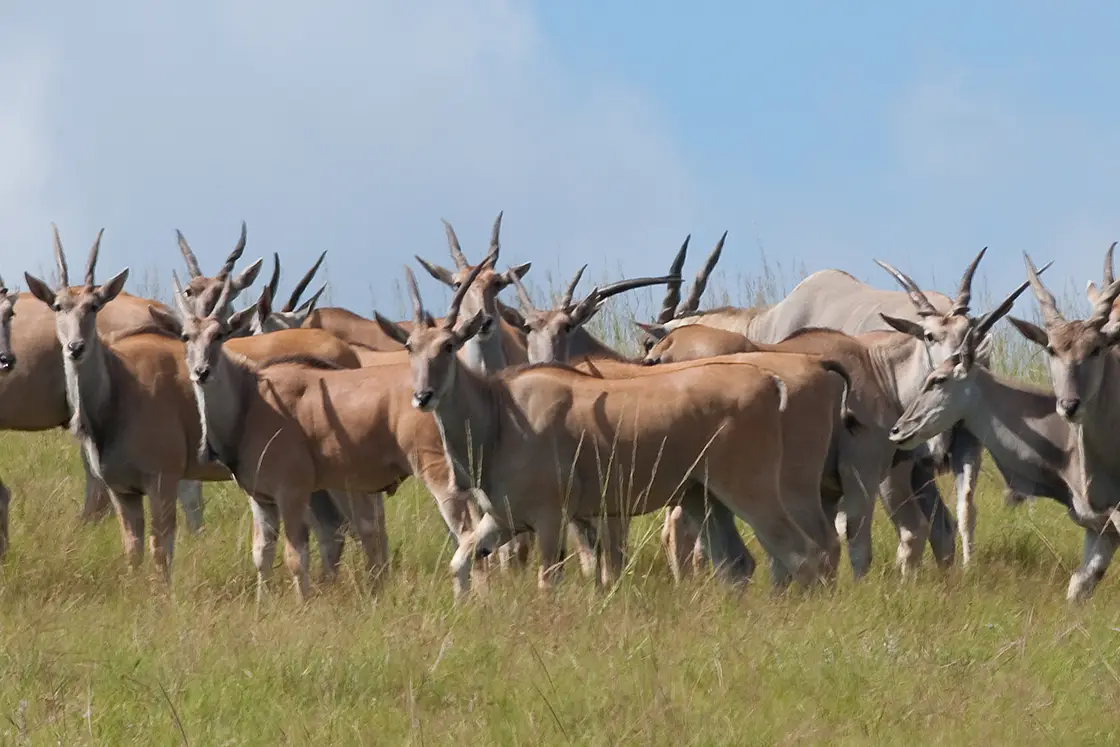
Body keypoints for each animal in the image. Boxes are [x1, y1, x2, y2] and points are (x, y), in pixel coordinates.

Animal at [374, 257, 846, 595]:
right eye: (410, 346)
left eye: (449, 345)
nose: (422, 396)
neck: (500, 415)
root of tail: (770, 380)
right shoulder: (502, 519)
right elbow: (461, 563)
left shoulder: (551, 518)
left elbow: (550, 581)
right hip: (703, 498)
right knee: (741, 563)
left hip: (753, 489)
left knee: (801, 553)